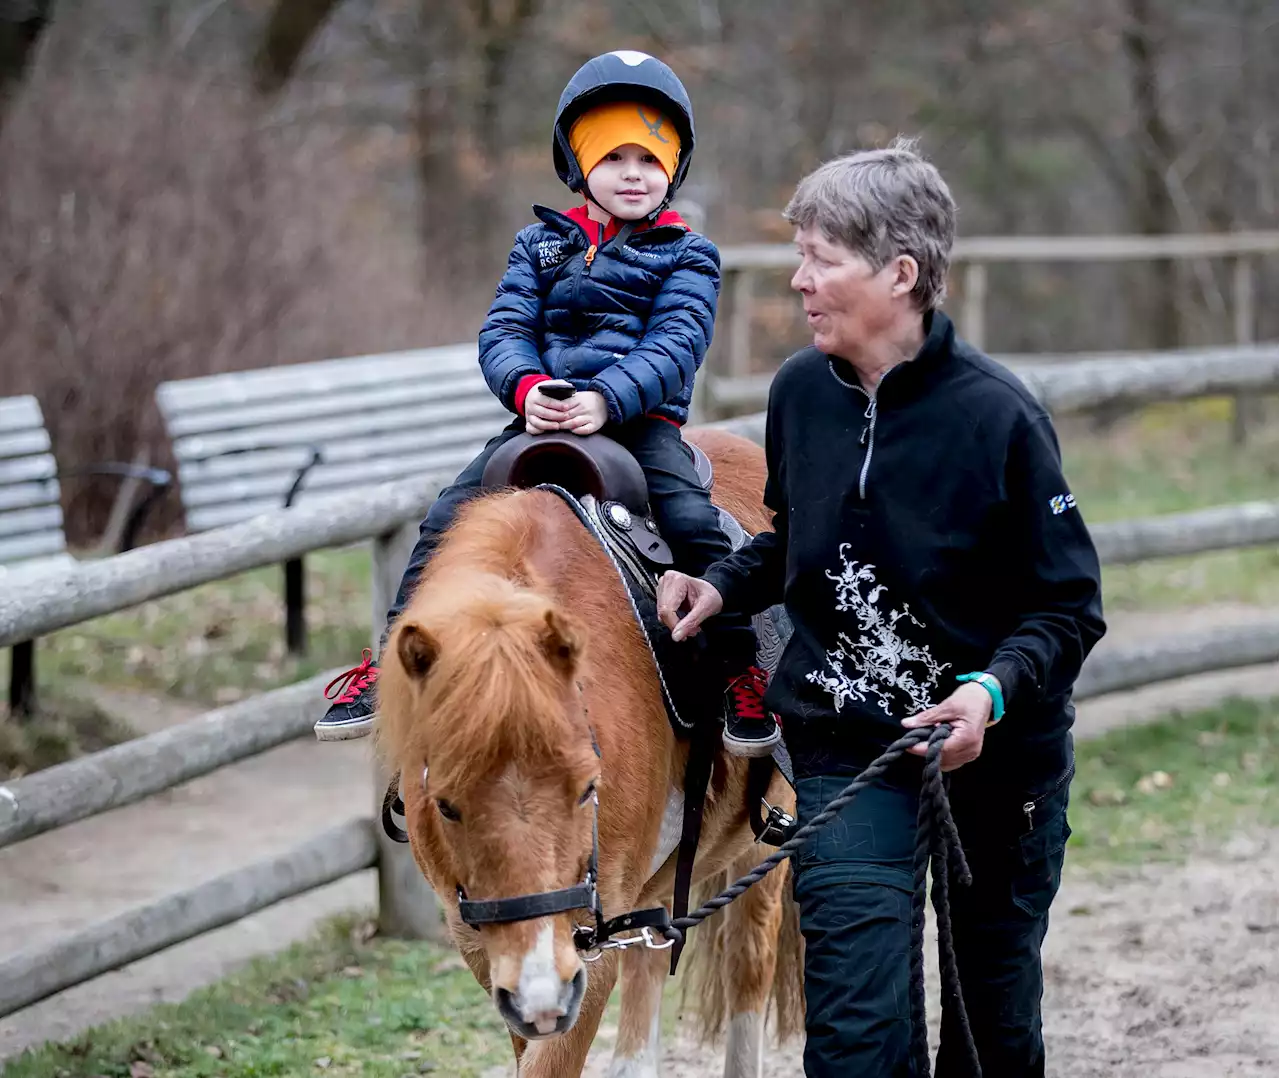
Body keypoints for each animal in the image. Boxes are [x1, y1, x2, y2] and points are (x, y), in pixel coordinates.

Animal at [376, 427, 798, 1075]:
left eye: (587, 789)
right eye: (445, 805)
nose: (543, 994)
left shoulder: (589, 952)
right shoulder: (493, 951)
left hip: (761, 852)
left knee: (748, 968)